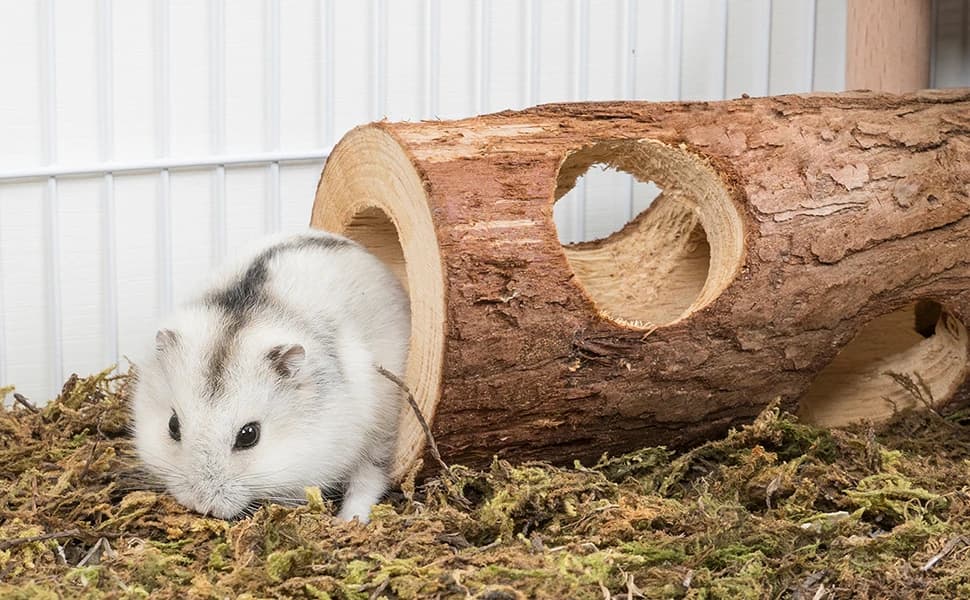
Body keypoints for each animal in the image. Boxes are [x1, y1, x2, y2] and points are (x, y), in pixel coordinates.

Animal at [130, 230, 410, 522]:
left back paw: (348, 520)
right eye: (173, 425)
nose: (201, 505)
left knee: (369, 479)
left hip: (382, 429)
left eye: (249, 435)